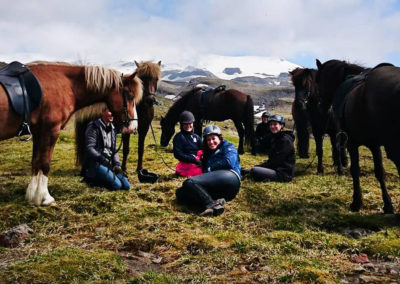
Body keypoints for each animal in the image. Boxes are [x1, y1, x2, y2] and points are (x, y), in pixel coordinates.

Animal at [0, 61, 142, 205]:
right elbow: (45, 163)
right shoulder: (50, 131)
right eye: (130, 96)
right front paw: (45, 197)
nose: (134, 127)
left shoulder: (39, 132)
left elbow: (36, 162)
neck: (65, 84)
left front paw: (33, 196)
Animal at [316, 58, 400, 213]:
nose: (321, 107)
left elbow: (355, 170)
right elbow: (379, 172)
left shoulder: (352, 143)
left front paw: (356, 202)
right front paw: (388, 205)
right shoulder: (374, 145)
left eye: (318, 81)